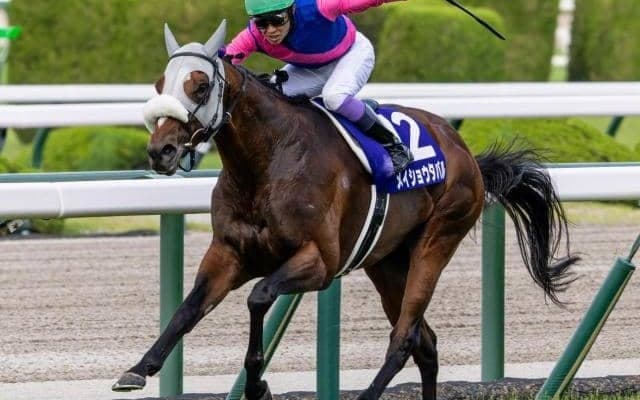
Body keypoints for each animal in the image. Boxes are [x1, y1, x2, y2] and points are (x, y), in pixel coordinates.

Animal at [113, 20, 578, 400]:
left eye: (200, 85)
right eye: (159, 84)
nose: (160, 151)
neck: (267, 161)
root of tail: (465, 152)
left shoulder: (319, 261)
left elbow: (259, 297)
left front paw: (258, 383)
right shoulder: (229, 252)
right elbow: (188, 309)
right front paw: (138, 369)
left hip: (438, 239)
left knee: (404, 338)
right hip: (387, 262)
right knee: (426, 343)